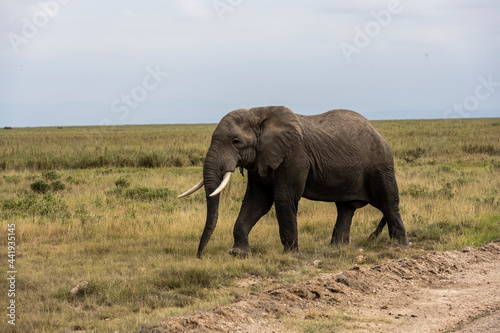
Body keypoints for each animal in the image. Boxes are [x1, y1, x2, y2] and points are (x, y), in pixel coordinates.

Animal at [180, 105, 410, 256]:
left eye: (236, 142)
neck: (259, 114)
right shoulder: (262, 158)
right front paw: (239, 253)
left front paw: (291, 255)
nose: (199, 256)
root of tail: (379, 133)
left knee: (389, 204)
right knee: (345, 208)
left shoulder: (294, 155)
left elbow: (283, 198)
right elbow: (257, 201)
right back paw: (336, 249)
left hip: (379, 166)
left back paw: (401, 246)